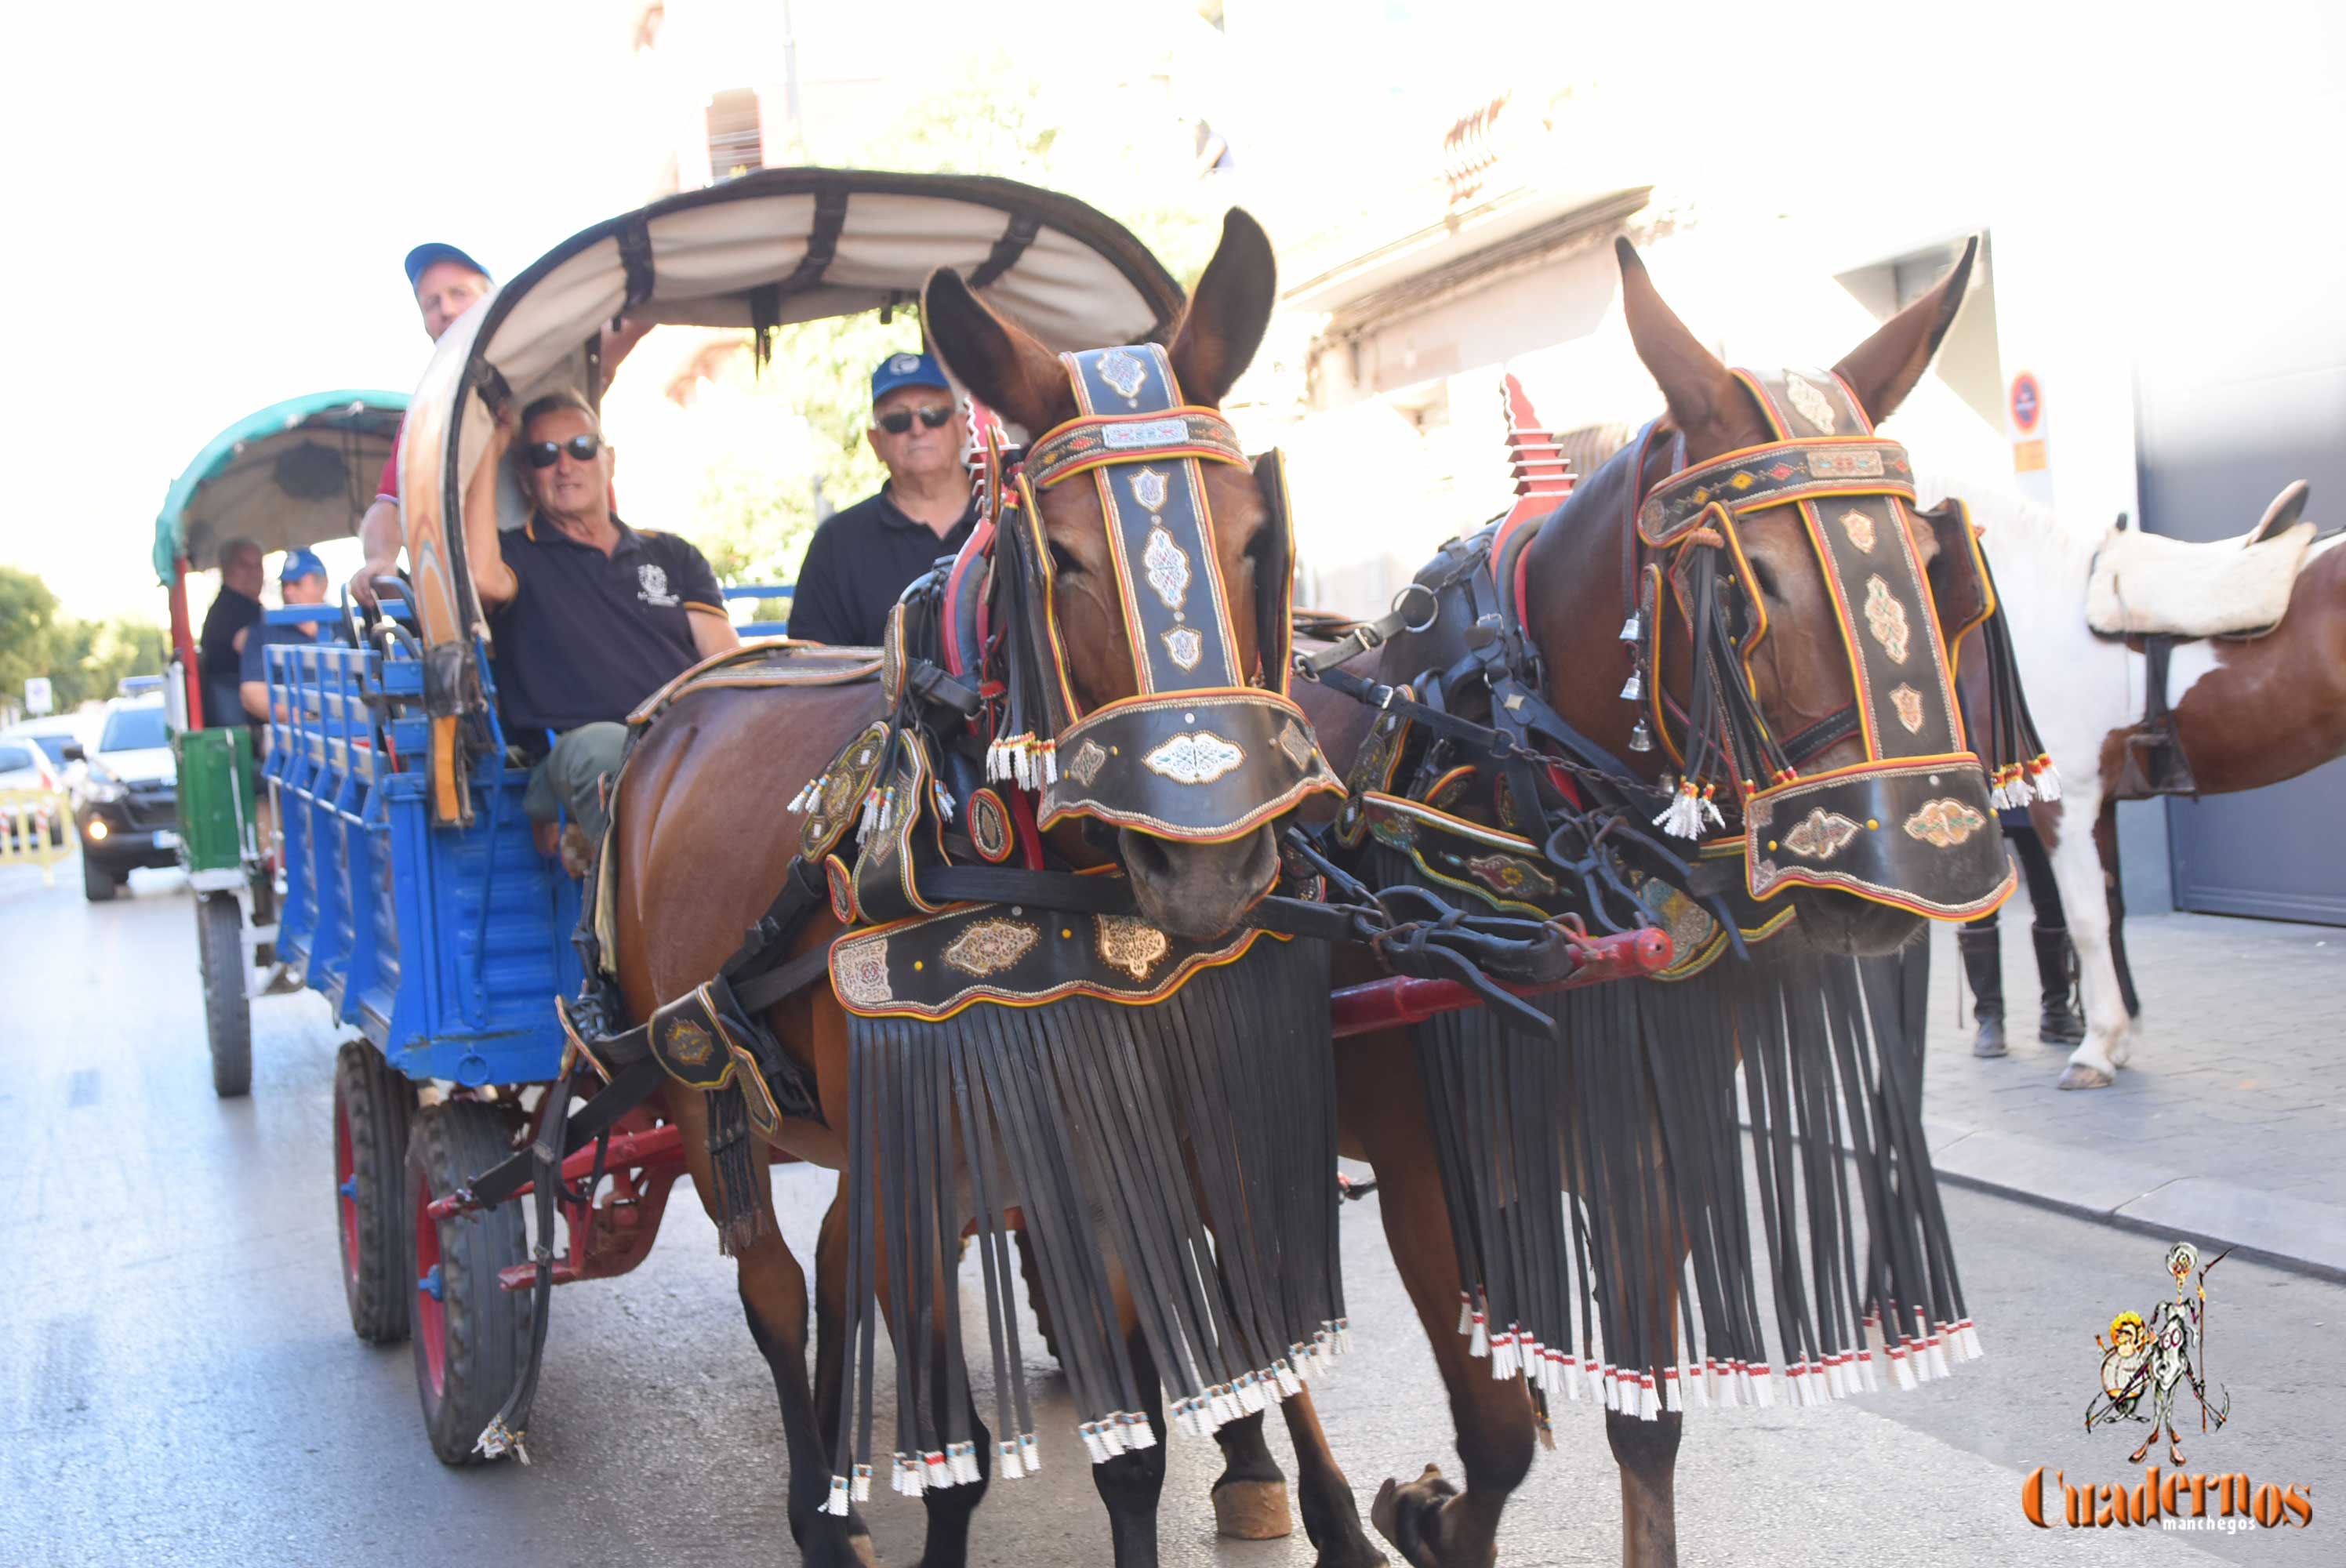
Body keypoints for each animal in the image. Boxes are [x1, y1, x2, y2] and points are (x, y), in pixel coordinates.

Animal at [1914, 478, 2337, 1089]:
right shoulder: (2100, 807)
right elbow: (2112, 912)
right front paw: (2119, 1039)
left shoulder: (2065, 805)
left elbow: (2086, 921)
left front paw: (2094, 1050)